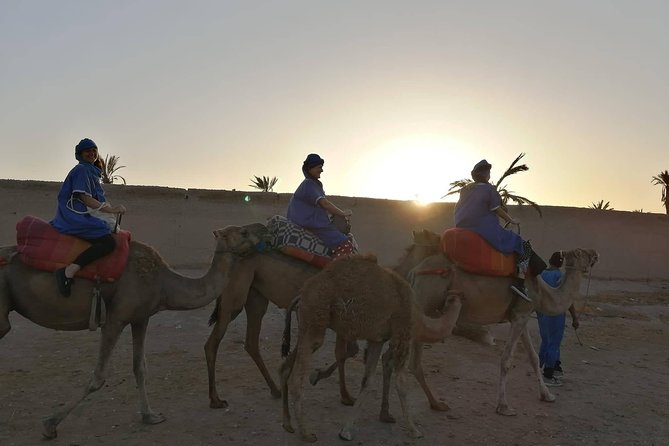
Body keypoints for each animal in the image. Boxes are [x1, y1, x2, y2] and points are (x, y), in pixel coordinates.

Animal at [0, 225, 260, 438]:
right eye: (244, 232)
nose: (262, 237)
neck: (163, 283)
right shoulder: (115, 319)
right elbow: (99, 376)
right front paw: (50, 424)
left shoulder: (141, 318)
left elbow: (140, 367)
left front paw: (150, 416)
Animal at [201, 228, 438, 410]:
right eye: (438, 244)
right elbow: (344, 352)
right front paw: (342, 393)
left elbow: (346, 352)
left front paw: (321, 379)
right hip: (235, 297)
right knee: (213, 342)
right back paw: (216, 399)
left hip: (256, 297)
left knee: (251, 342)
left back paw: (275, 390)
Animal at [280, 254, 462, 442]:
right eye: (448, 272)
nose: (457, 293)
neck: (419, 319)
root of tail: (302, 294)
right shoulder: (402, 331)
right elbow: (401, 383)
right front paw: (414, 430)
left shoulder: (377, 339)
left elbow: (367, 380)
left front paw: (346, 431)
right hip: (315, 318)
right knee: (296, 378)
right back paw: (306, 433)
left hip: (307, 324)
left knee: (285, 367)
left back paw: (288, 424)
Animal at [380, 244, 600, 418]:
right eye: (581, 252)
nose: (596, 253)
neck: (543, 292)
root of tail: (414, 271)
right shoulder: (520, 315)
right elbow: (506, 360)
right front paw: (504, 406)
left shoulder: (520, 316)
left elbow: (533, 357)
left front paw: (547, 395)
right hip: (424, 301)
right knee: (407, 360)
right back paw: (424, 405)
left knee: (393, 357)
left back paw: (398, 411)